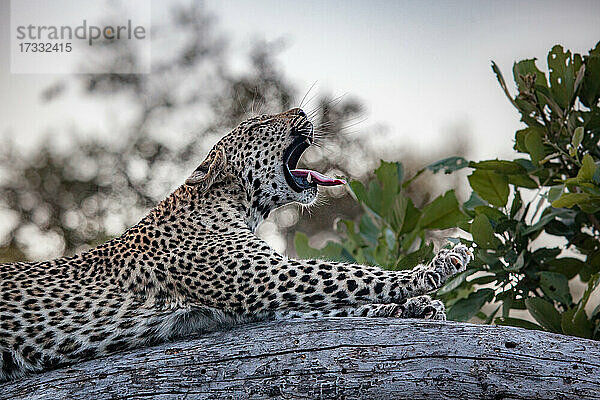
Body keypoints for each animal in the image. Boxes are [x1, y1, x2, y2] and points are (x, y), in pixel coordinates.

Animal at [0, 108, 472, 382]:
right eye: (261, 125)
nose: (302, 109)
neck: (238, 205)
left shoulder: (259, 297)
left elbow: (342, 305)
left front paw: (416, 307)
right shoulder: (266, 277)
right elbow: (348, 274)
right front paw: (438, 267)